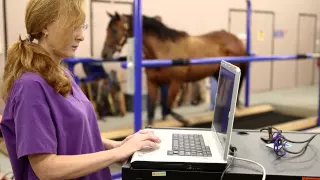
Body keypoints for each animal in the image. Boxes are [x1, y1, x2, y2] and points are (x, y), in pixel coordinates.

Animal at [102, 11, 248, 126]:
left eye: (114, 30)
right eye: (107, 30)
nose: (104, 54)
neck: (163, 50)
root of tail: (235, 39)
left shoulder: (176, 82)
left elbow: (167, 107)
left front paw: (184, 120)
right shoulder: (152, 83)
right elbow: (151, 112)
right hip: (217, 73)